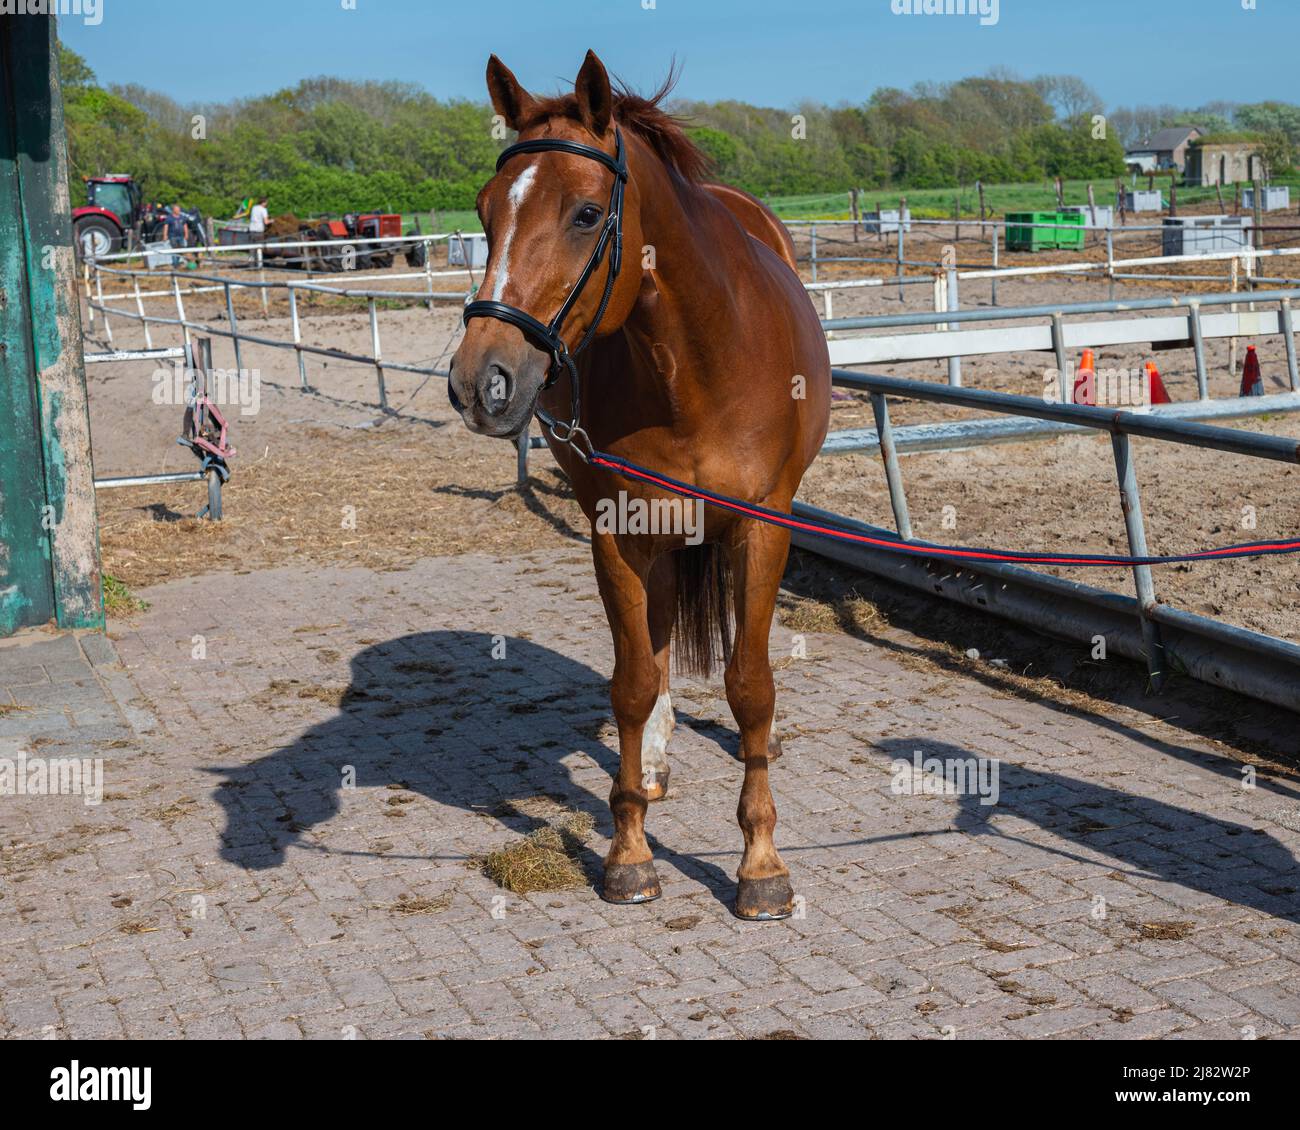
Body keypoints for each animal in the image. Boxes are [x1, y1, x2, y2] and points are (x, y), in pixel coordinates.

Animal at [447, 52, 832, 915]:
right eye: (485, 213)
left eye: (588, 215)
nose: (480, 383)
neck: (697, 366)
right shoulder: (616, 531)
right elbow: (630, 683)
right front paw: (628, 851)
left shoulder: (762, 527)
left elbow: (750, 687)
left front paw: (761, 863)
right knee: (653, 650)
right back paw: (650, 769)